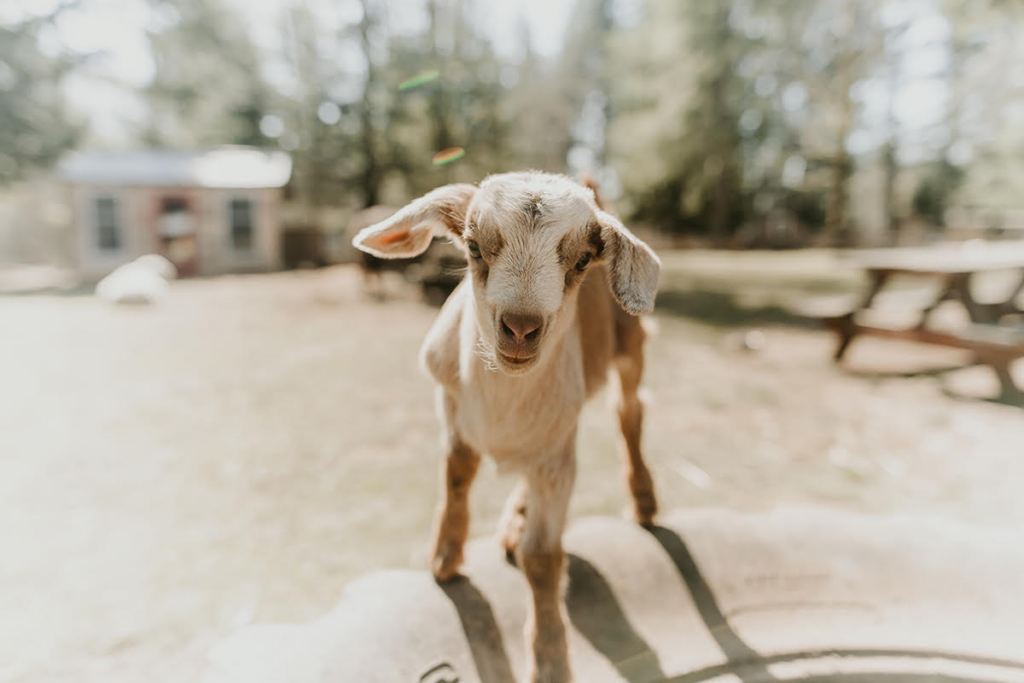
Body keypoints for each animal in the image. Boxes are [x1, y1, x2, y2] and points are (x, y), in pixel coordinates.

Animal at [352, 172, 661, 683]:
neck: (502, 400)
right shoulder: (453, 410)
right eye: (474, 247)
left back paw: (643, 501)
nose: (520, 328)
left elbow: (543, 558)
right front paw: (445, 558)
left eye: (583, 259)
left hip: (630, 349)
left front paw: (551, 657)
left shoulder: (558, 453)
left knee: (628, 414)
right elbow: (457, 478)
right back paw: (517, 519)